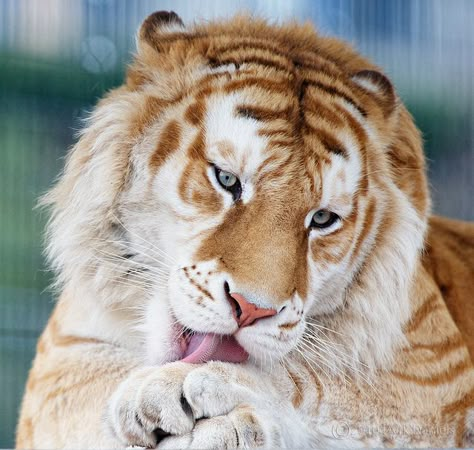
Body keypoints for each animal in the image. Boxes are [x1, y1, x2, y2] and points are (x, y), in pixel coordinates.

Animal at [15, 11, 474, 450]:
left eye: (322, 219)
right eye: (226, 179)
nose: (251, 310)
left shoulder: (437, 382)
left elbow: (316, 380)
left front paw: (181, 386)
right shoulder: (62, 354)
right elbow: (84, 384)